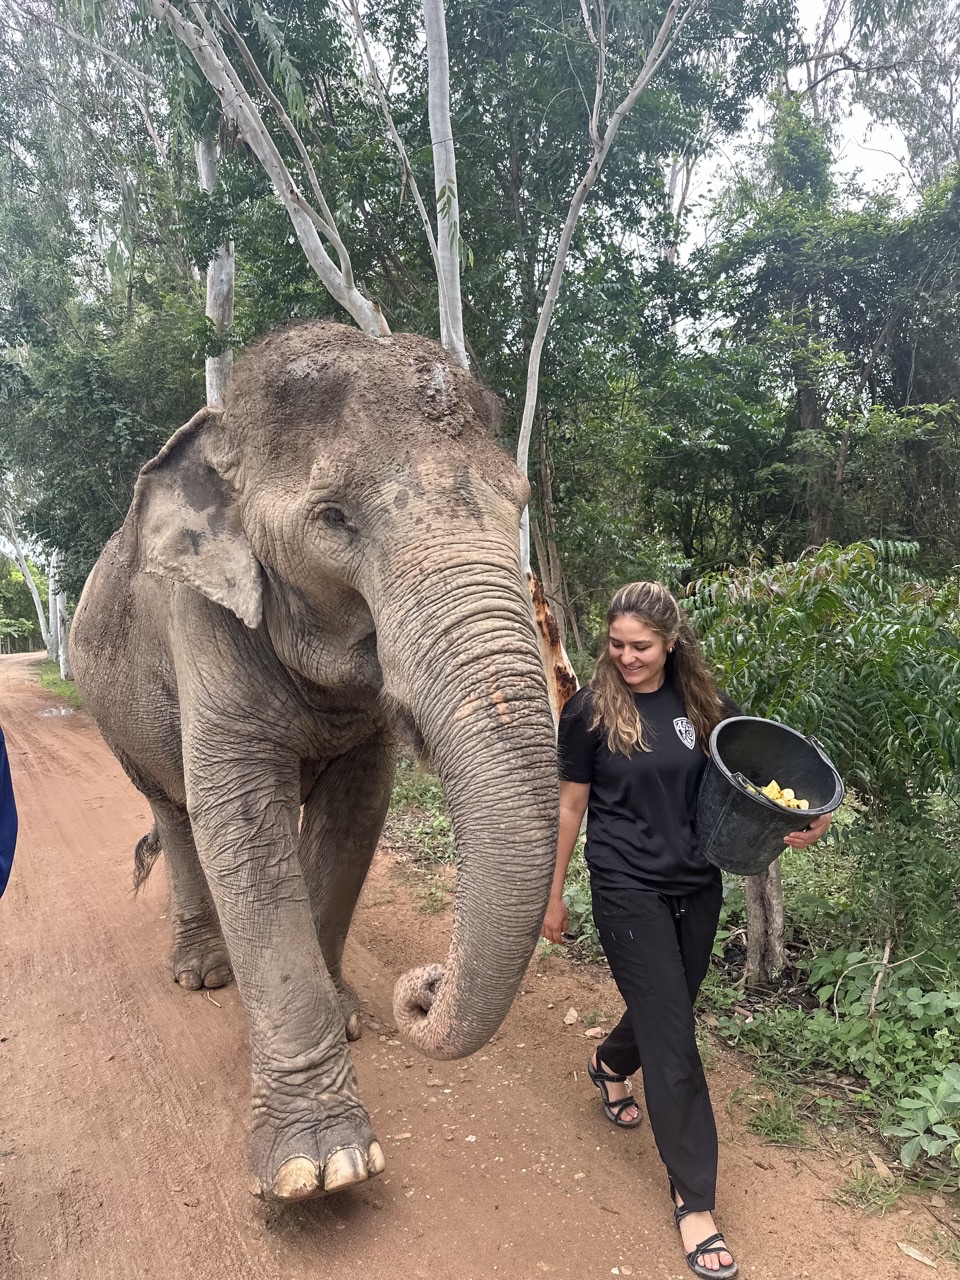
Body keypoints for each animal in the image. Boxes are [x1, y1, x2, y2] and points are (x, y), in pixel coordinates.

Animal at [69, 320, 563, 1198]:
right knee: (178, 813)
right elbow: (242, 830)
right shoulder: (201, 621)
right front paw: (322, 1168)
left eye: (520, 504)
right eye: (334, 519)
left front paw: (346, 1016)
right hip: (112, 716)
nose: (424, 988)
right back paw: (203, 973)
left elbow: (356, 811)